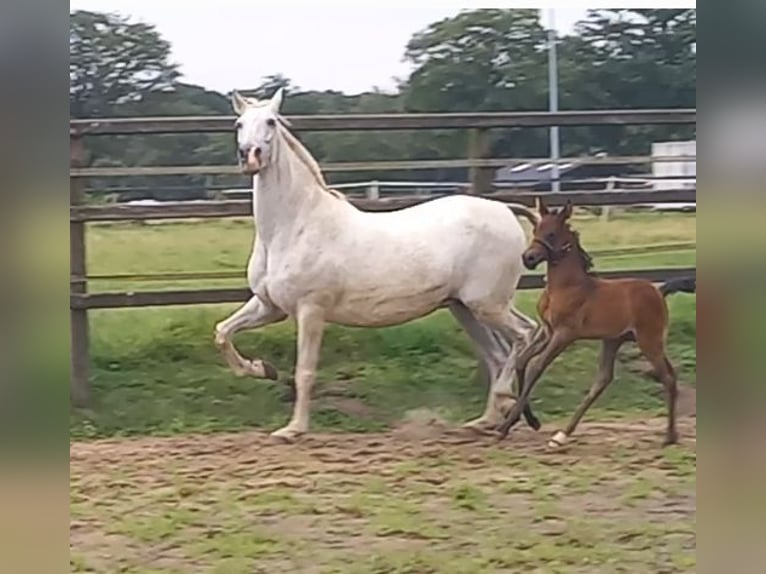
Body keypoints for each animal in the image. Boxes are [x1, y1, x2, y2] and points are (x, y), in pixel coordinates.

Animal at [213, 89, 544, 440]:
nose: (250, 156)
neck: (293, 226)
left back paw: (504, 401)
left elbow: (305, 371)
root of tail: (504, 209)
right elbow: (222, 332)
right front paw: (262, 369)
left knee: (525, 333)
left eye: (271, 122)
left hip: (488, 304)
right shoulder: (269, 306)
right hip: (465, 307)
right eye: (238, 124)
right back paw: (485, 420)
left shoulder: (311, 310)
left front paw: (293, 429)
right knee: (498, 355)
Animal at [498, 199, 696, 450]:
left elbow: (536, 367)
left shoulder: (564, 334)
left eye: (551, 233)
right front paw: (528, 420)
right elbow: (522, 361)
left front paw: (506, 426)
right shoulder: (548, 331)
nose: (528, 258)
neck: (567, 286)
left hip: (649, 340)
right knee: (603, 380)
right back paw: (562, 435)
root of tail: (659, 291)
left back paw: (670, 436)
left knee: (668, 377)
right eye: (536, 230)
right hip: (613, 340)